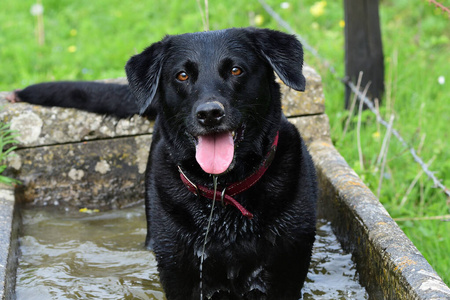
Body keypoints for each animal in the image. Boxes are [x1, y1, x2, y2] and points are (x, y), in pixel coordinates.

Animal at [7, 28, 316, 300]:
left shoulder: (286, 269)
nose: (209, 114)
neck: (224, 192)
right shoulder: (179, 270)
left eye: (236, 70)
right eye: (182, 75)